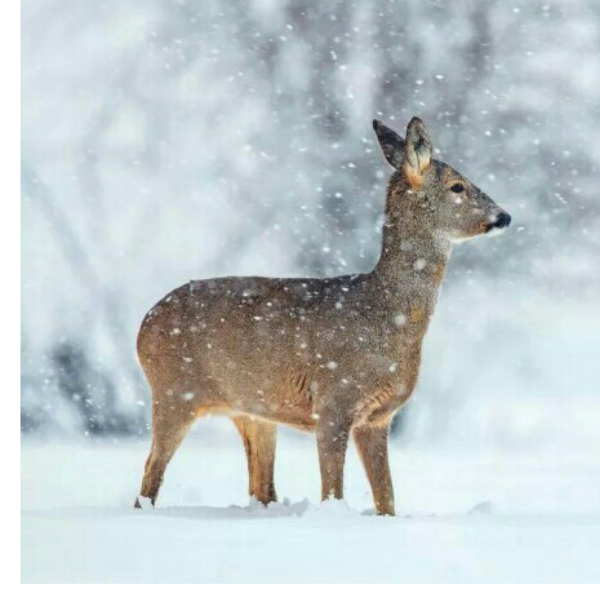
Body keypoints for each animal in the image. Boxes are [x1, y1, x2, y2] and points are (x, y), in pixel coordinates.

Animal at [135, 117, 510, 516]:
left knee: (261, 488)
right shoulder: (333, 402)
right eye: (458, 186)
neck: (386, 318)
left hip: (252, 411)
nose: (504, 216)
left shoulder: (377, 418)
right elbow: (333, 490)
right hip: (175, 390)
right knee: (149, 477)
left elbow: (387, 498)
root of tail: (143, 327)